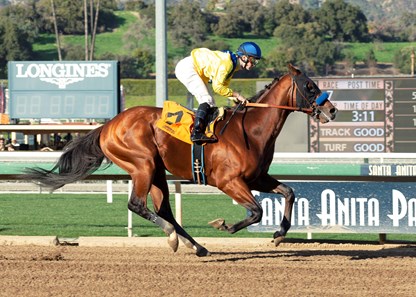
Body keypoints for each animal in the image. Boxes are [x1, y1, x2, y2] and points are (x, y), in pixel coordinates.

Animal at [24, 64, 338, 254]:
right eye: (309, 86)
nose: (332, 110)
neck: (251, 129)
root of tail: (108, 125)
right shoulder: (229, 181)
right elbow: (257, 211)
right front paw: (224, 225)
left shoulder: (256, 177)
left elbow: (289, 192)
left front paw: (280, 233)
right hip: (143, 165)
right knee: (138, 205)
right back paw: (175, 238)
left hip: (157, 172)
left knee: (164, 210)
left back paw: (196, 246)